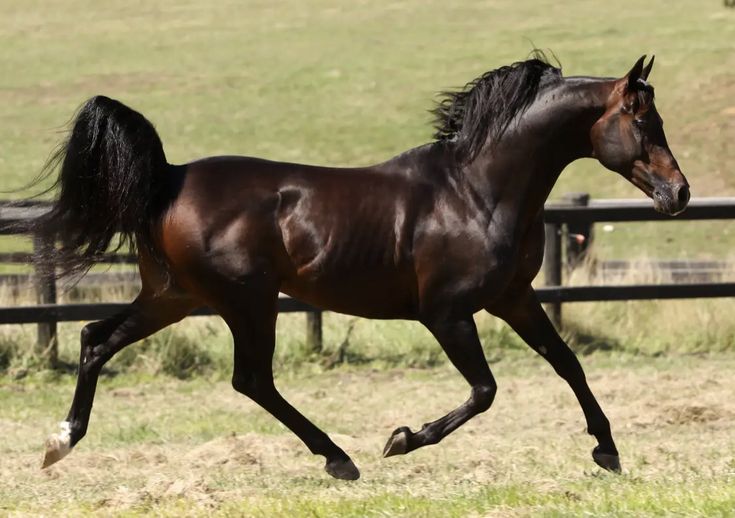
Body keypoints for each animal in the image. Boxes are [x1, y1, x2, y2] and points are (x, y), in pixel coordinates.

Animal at [37, 54, 689, 480]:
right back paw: (339, 458)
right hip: (245, 302)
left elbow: (568, 363)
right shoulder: (447, 313)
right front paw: (402, 440)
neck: (477, 191)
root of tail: (167, 178)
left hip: (175, 297)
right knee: (252, 380)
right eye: (643, 122)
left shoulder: (516, 298)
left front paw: (607, 450)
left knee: (96, 339)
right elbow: (485, 390)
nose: (678, 193)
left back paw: (59, 442)